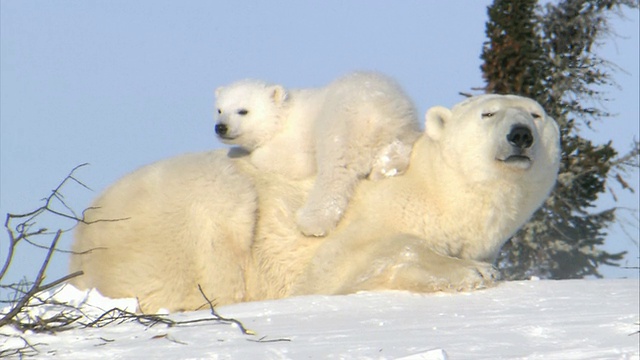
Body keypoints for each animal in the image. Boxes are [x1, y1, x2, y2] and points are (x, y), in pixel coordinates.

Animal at [70, 93, 560, 312]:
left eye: (536, 114)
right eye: (488, 113)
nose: (521, 135)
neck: (436, 187)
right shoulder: (369, 215)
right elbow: (349, 261)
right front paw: (470, 272)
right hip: (189, 213)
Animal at [215, 72, 422, 236]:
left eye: (243, 111)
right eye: (219, 110)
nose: (221, 127)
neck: (284, 115)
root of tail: (379, 115)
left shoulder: (296, 141)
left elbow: (293, 162)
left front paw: (247, 152)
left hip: (339, 124)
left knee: (335, 172)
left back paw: (311, 221)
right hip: (403, 125)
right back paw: (387, 168)